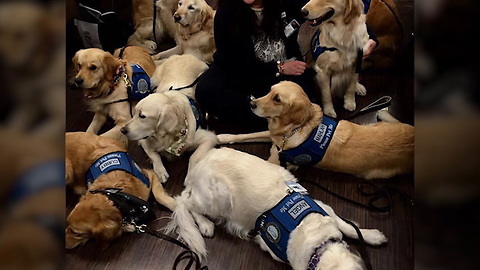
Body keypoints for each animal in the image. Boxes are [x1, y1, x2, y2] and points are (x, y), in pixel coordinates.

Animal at [167, 147, 388, 268]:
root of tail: (198, 165)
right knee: (184, 200)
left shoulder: (324, 207)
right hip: (218, 196)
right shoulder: (269, 244)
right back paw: (205, 224)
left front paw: (371, 235)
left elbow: (348, 226)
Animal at [218, 81, 412, 180]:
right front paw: (223, 137)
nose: (251, 104)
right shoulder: (274, 138)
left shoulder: (276, 162)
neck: (297, 128)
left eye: (277, 99)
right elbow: (248, 135)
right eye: (270, 90)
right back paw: (383, 112)